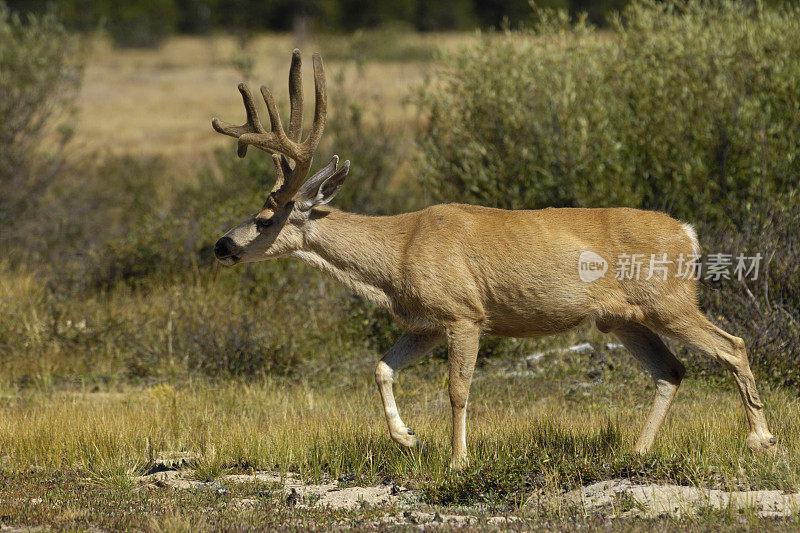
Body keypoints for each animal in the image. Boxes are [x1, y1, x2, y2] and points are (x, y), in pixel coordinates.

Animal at [211, 48, 776, 466]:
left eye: (265, 219)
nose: (221, 245)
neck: (397, 254)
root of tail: (688, 233)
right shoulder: (426, 321)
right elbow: (381, 368)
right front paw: (409, 438)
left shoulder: (464, 313)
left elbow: (458, 389)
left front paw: (458, 460)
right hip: (622, 318)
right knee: (671, 370)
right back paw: (636, 454)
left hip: (668, 299)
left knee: (732, 346)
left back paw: (761, 440)